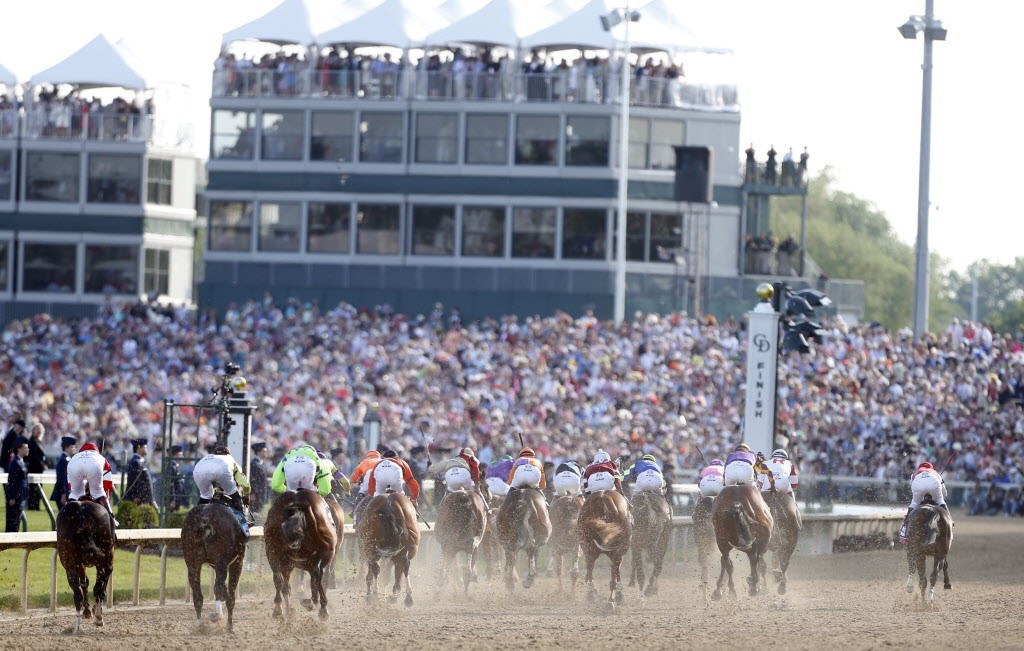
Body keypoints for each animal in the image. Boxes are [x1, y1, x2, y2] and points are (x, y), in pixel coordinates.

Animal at [56, 501, 116, 634]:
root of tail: (82, 517)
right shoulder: (106, 563)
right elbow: (99, 587)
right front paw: (95, 613)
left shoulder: (80, 565)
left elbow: (84, 583)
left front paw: (88, 611)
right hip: (104, 559)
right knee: (97, 589)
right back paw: (97, 618)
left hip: (70, 565)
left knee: (78, 594)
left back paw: (77, 627)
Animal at [181, 501, 246, 634]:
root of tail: (204, 519)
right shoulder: (236, 562)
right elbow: (230, 595)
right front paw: (230, 627)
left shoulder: (213, 564)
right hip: (221, 562)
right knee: (217, 588)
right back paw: (216, 615)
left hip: (192, 562)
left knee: (197, 595)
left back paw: (200, 626)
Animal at [266, 487, 337, 622]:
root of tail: (297, 501)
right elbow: (315, 577)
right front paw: (317, 605)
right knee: (316, 574)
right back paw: (320, 607)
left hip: (274, 552)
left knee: (279, 579)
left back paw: (280, 610)